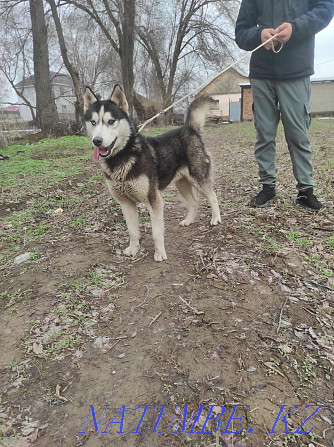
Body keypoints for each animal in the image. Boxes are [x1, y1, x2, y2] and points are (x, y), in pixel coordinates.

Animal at [83, 85, 220, 262]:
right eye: (93, 122)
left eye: (111, 121)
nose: (97, 141)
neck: (122, 158)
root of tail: (189, 128)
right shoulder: (126, 204)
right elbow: (133, 232)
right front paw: (133, 249)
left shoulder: (153, 201)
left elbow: (156, 233)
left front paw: (160, 253)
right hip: (181, 184)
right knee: (194, 202)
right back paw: (189, 220)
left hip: (199, 179)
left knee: (213, 196)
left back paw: (216, 218)